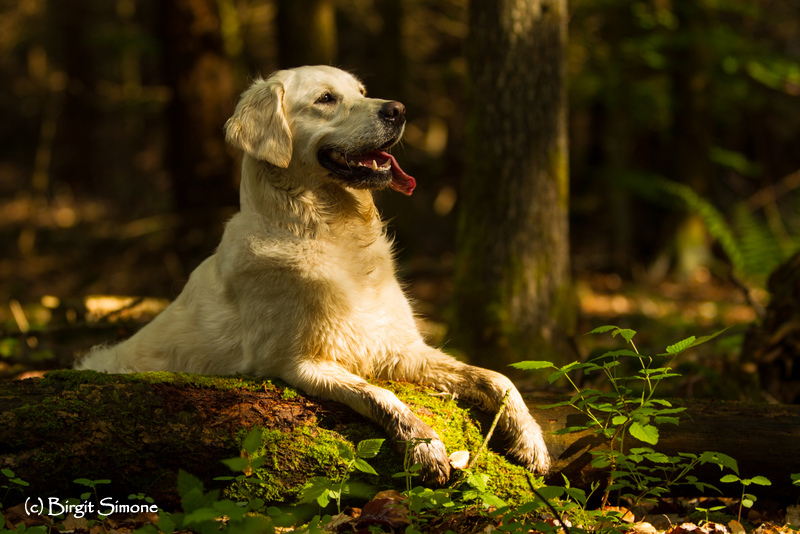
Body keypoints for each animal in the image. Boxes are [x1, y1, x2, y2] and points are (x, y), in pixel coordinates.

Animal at [76, 66, 552, 486]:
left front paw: (530, 437)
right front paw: (424, 445)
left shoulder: (398, 348)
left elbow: (497, 377)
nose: (398, 109)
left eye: (362, 91)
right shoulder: (296, 361)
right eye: (326, 99)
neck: (330, 234)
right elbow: (379, 395)